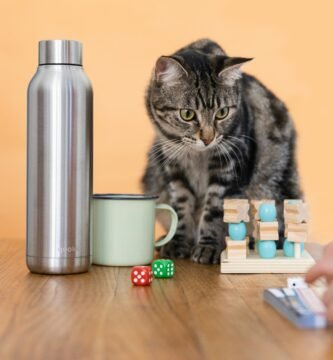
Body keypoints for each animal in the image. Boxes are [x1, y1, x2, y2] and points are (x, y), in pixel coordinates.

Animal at [140, 39, 300, 264]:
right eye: (187, 114)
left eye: (222, 113)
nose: (208, 138)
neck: (197, 155)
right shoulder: (175, 167)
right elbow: (180, 207)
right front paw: (179, 242)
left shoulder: (228, 167)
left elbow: (214, 210)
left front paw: (209, 247)